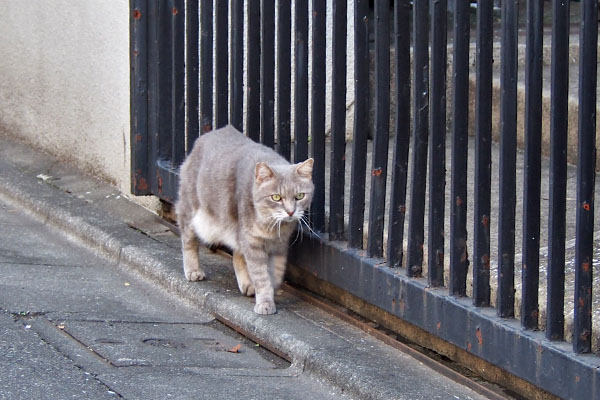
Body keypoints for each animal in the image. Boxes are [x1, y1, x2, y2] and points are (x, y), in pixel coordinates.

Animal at [175, 126, 314, 314]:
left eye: (299, 196)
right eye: (276, 197)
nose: (290, 212)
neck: (271, 225)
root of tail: (204, 137)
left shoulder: (279, 244)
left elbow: (276, 270)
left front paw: (272, 286)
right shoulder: (251, 242)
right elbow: (261, 275)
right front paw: (265, 301)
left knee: (237, 255)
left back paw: (247, 284)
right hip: (191, 211)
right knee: (188, 241)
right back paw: (193, 270)